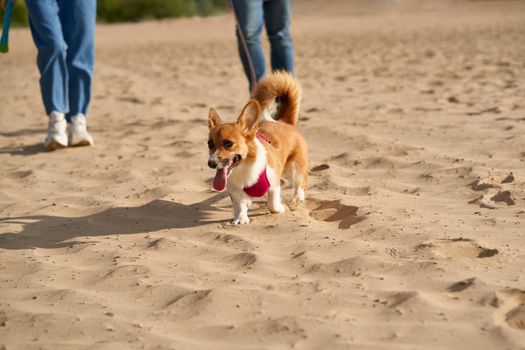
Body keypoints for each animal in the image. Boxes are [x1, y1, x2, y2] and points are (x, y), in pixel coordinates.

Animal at [207, 72, 310, 224]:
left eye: (228, 143)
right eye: (209, 144)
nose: (211, 163)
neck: (244, 167)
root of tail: (284, 122)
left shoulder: (274, 184)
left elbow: (272, 204)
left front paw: (281, 208)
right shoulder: (235, 191)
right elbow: (240, 205)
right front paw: (241, 219)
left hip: (294, 168)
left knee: (300, 182)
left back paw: (297, 198)